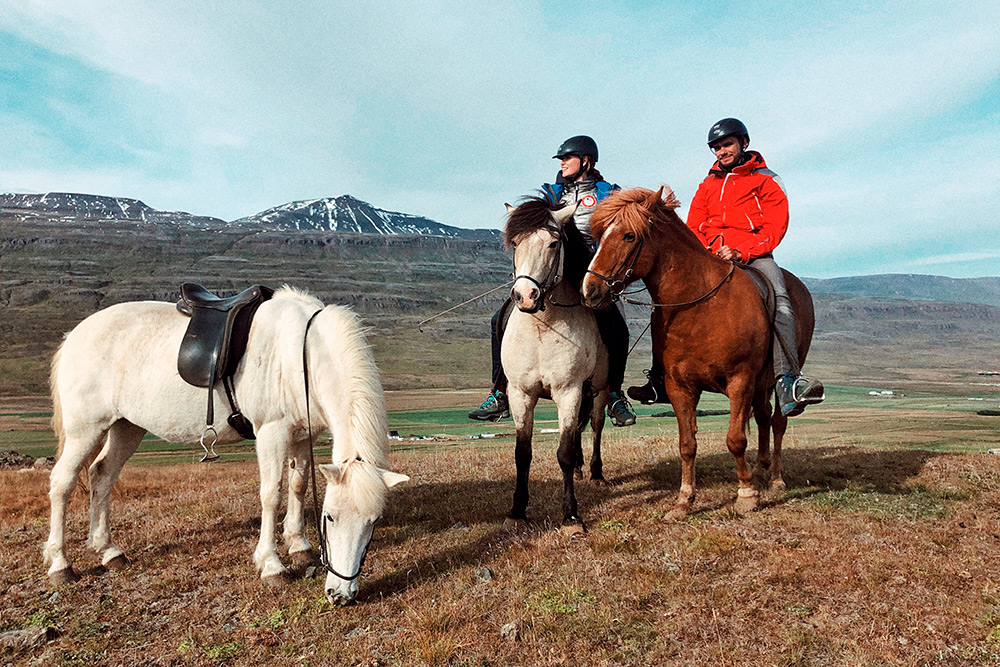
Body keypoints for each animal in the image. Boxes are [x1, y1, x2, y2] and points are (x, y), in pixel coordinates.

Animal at [46, 288, 406, 604]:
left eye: (373, 522)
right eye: (329, 517)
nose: (341, 594)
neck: (301, 355)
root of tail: (75, 334)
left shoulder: (304, 435)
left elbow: (298, 485)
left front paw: (299, 545)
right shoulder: (272, 432)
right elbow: (271, 494)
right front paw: (271, 565)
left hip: (126, 427)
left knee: (101, 476)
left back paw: (109, 552)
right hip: (85, 430)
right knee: (62, 483)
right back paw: (60, 565)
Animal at [500, 196, 608, 536]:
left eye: (553, 243)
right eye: (515, 243)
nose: (525, 296)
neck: (542, 326)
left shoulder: (568, 391)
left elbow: (563, 452)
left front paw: (571, 516)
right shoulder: (520, 393)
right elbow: (522, 453)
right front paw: (517, 511)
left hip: (599, 390)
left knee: (596, 426)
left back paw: (596, 473)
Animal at [584, 187, 816, 516]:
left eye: (629, 236)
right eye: (600, 234)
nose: (589, 290)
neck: (700, 306)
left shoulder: (739, 381)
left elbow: (735, 439)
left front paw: (746, 495)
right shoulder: (680, 387)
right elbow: (687, 444)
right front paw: (684, 500)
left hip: (773, 378)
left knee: (778, 421)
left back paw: (775, 478)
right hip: (760, 384)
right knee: (762, 418)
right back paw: (760, 470)